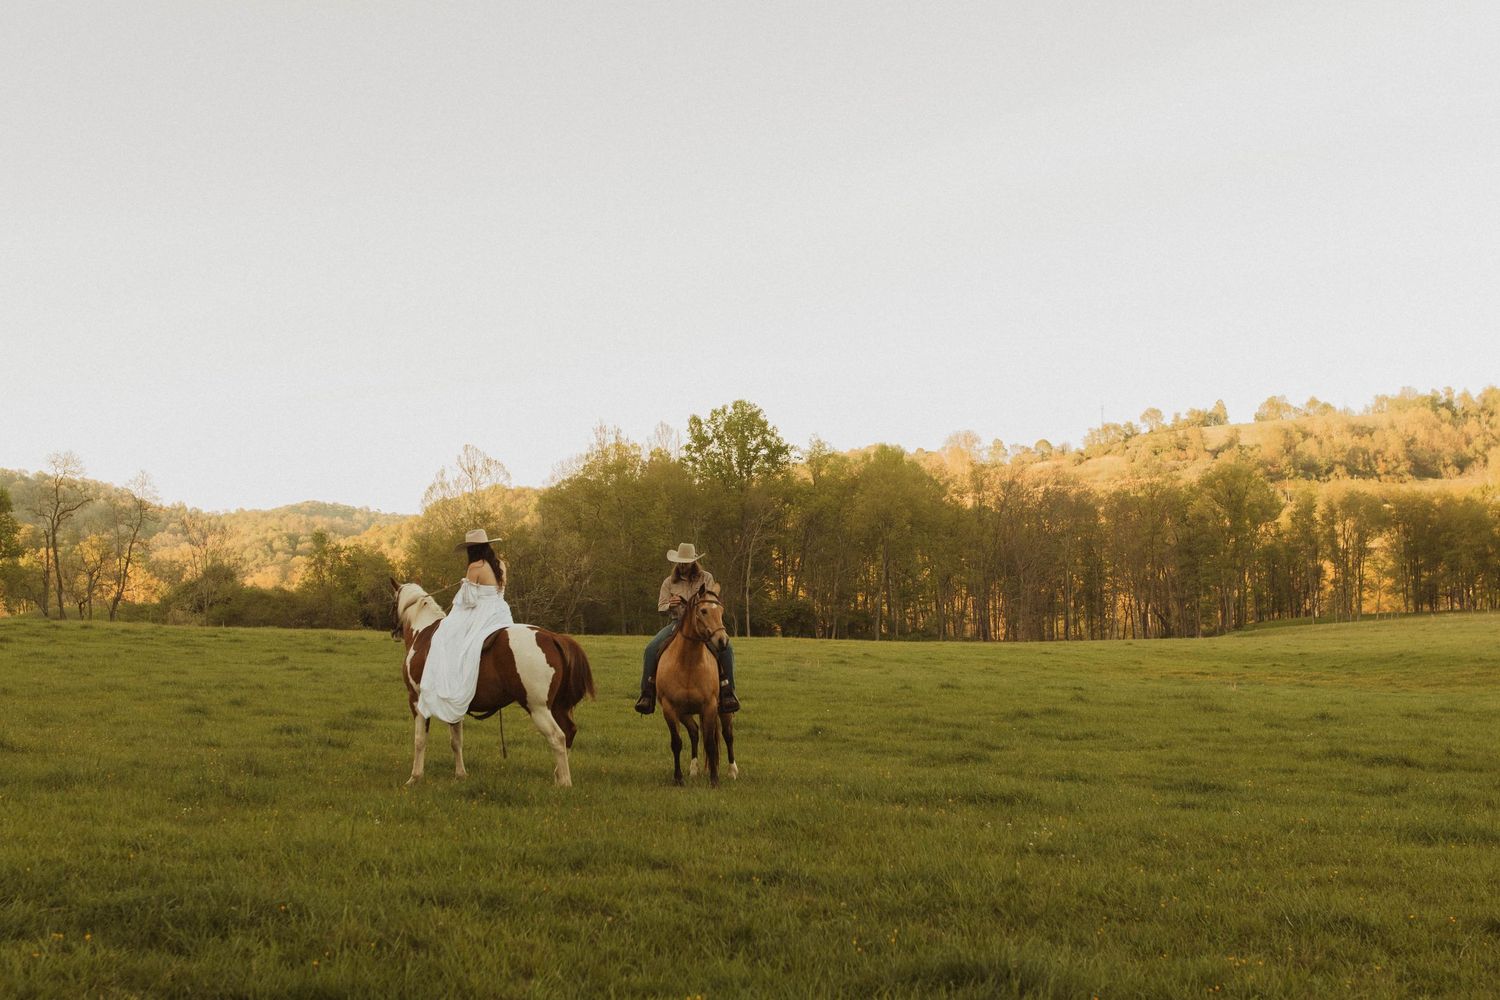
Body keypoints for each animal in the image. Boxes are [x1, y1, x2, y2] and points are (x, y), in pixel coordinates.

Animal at [390, 580, 595, 787]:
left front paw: (415, 777)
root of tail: (553, 637)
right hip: (558, 707)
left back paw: (565, 782)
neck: (423, 635)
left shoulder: (416, 700)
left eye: (392, 602)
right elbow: (456, 741)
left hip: (538, 708)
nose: (394, 632)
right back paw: (559, 775)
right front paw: (460, 774)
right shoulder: (453, 708)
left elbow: (420, 740)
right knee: (569, 732)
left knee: (557, 737)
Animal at [656, 584, 738, 787]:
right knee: (693, 732)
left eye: (721, 611)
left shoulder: (709, 706)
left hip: (724, 711)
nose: (723, 641)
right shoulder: (670, 709)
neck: (688, 663)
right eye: (703, 610)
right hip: (684, 713)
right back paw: (693, 769)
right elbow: (677, 743)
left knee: (728, 735)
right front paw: (678, 778)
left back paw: (732, 771)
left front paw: (714, 780)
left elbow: (710, 743)